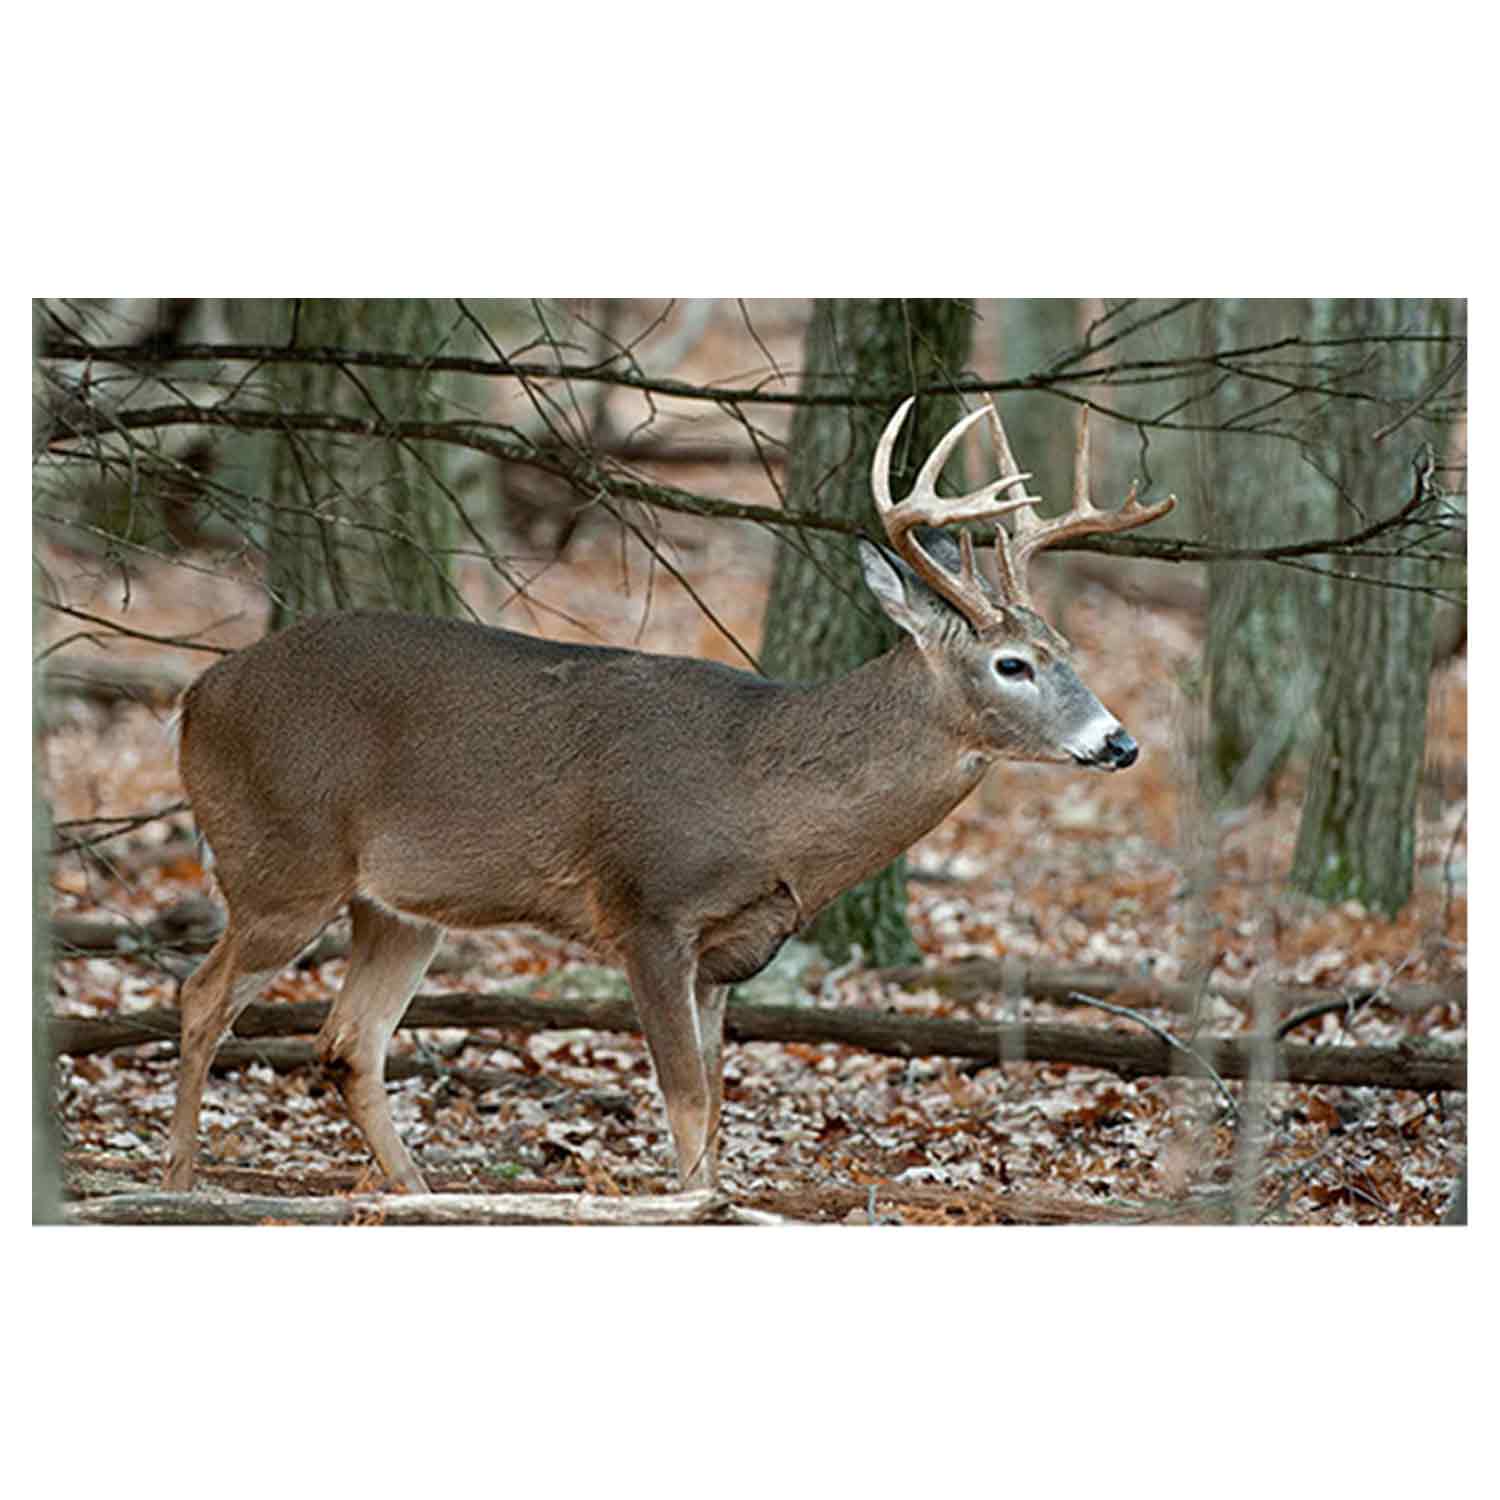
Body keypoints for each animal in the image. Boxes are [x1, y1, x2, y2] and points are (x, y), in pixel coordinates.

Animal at [162, 395, 1175, 1196]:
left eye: (1067, 651)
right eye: (1013, 664)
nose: (1119, 743)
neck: (767, 798)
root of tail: (194, 697)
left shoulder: (728, 952)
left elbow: (718, 1108)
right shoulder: (646, 908)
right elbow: (686, 1104)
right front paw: (693, 1204)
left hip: (400, 906)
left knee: (349, 1041)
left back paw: (417, 1195)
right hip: (281, 862)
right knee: (203, 997)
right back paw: (178, 1185)